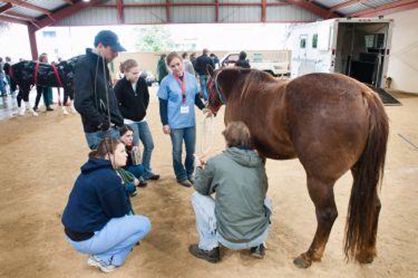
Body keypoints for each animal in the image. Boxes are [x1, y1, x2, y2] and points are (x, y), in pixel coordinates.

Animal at [206, 66, 388, 268]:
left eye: (208, 84)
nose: (207, 105)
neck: (239, 89)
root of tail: (364, 94)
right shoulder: (259, 153)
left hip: (319, 181)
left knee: (327, 214)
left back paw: (310, 255)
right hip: (362, 173)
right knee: (374, 205)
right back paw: (367, 251)